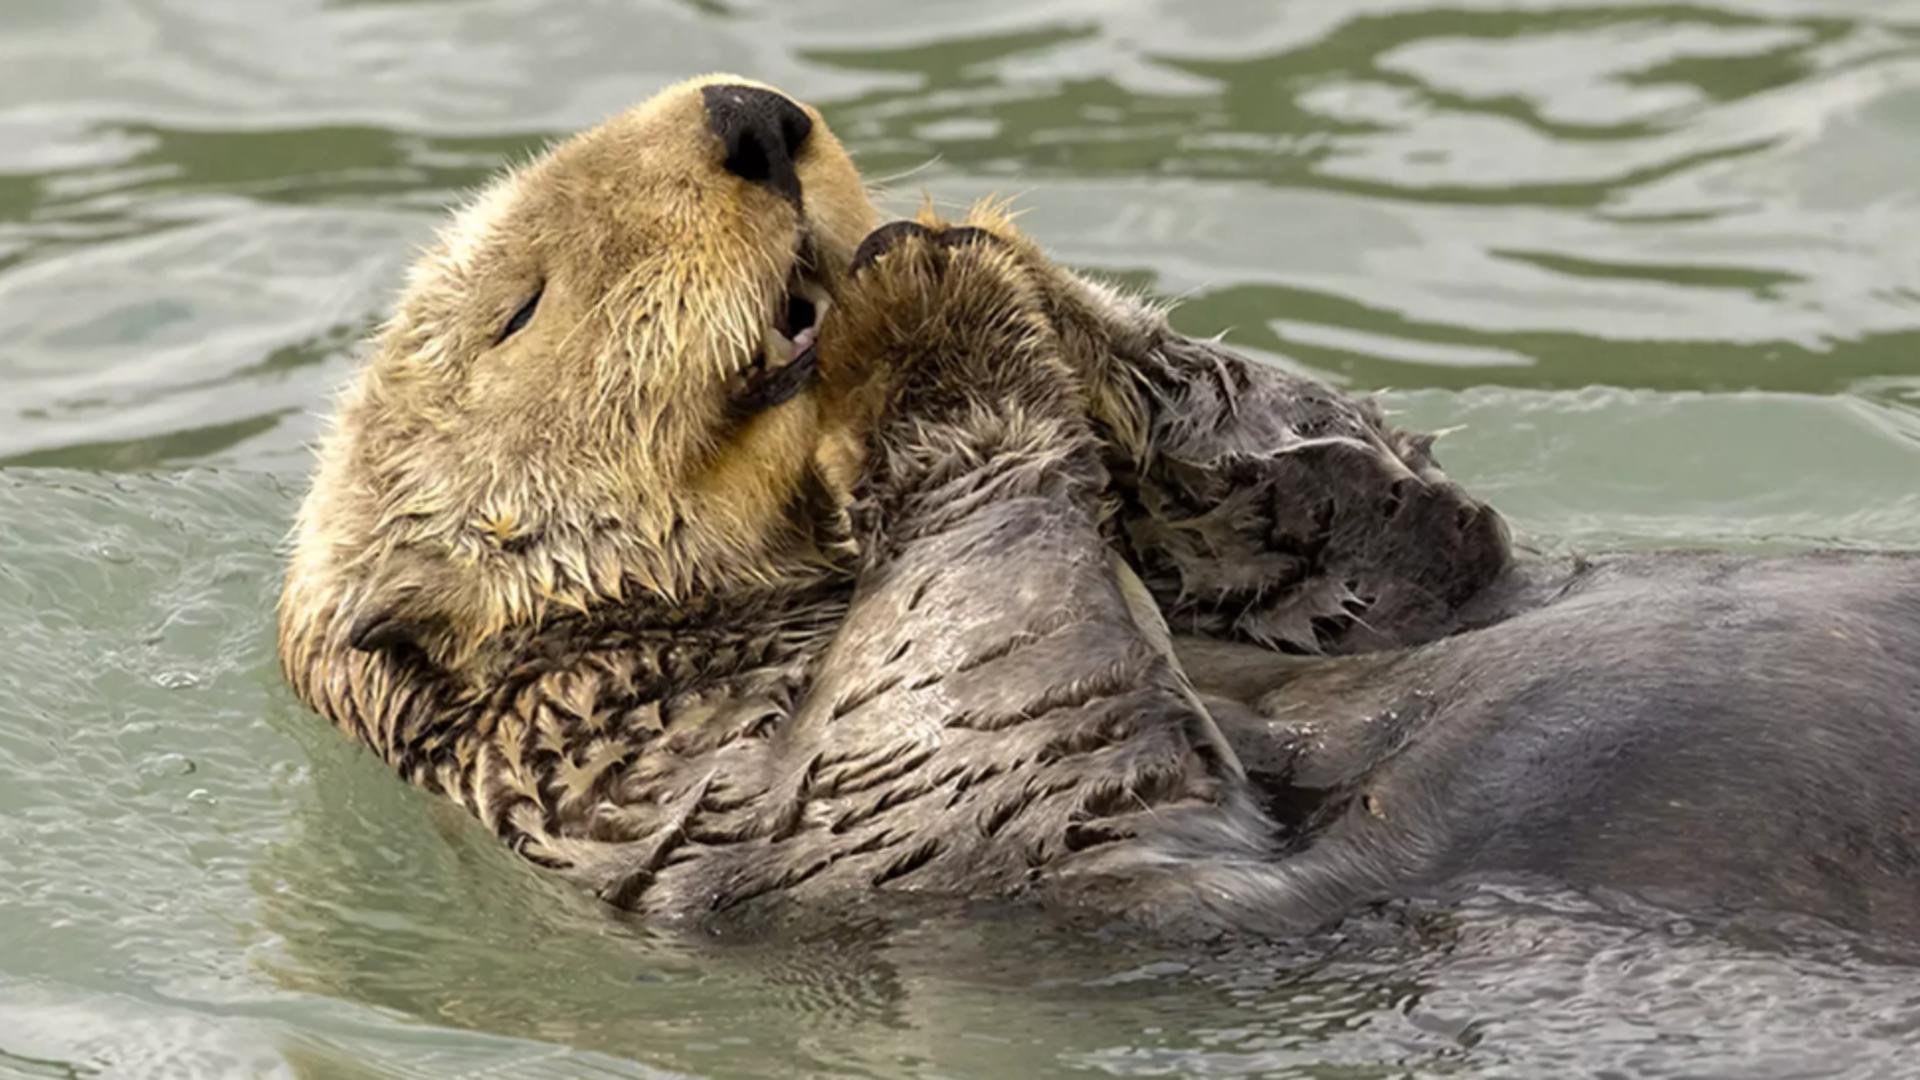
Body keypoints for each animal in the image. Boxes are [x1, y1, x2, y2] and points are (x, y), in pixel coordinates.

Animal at [278, 75, 1920, 933]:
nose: (747, 116)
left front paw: (974, 251)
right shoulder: (668, 784)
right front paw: (927, 319)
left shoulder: (1381, 576)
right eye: (520, 307)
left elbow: (1397, 525)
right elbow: (988, 716)